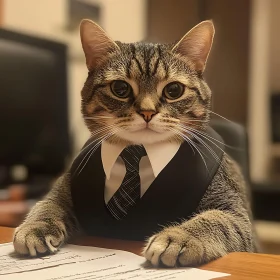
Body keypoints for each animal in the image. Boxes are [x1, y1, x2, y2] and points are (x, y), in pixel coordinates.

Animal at [13, 19, 258, 266]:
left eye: (174, 90)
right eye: (120, 89)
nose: (147, 112)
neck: (136, 155)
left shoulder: (235, 213)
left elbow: (217, 221)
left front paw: (179, 237)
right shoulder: (65, 190)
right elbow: (47, 205)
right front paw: (35, 226)